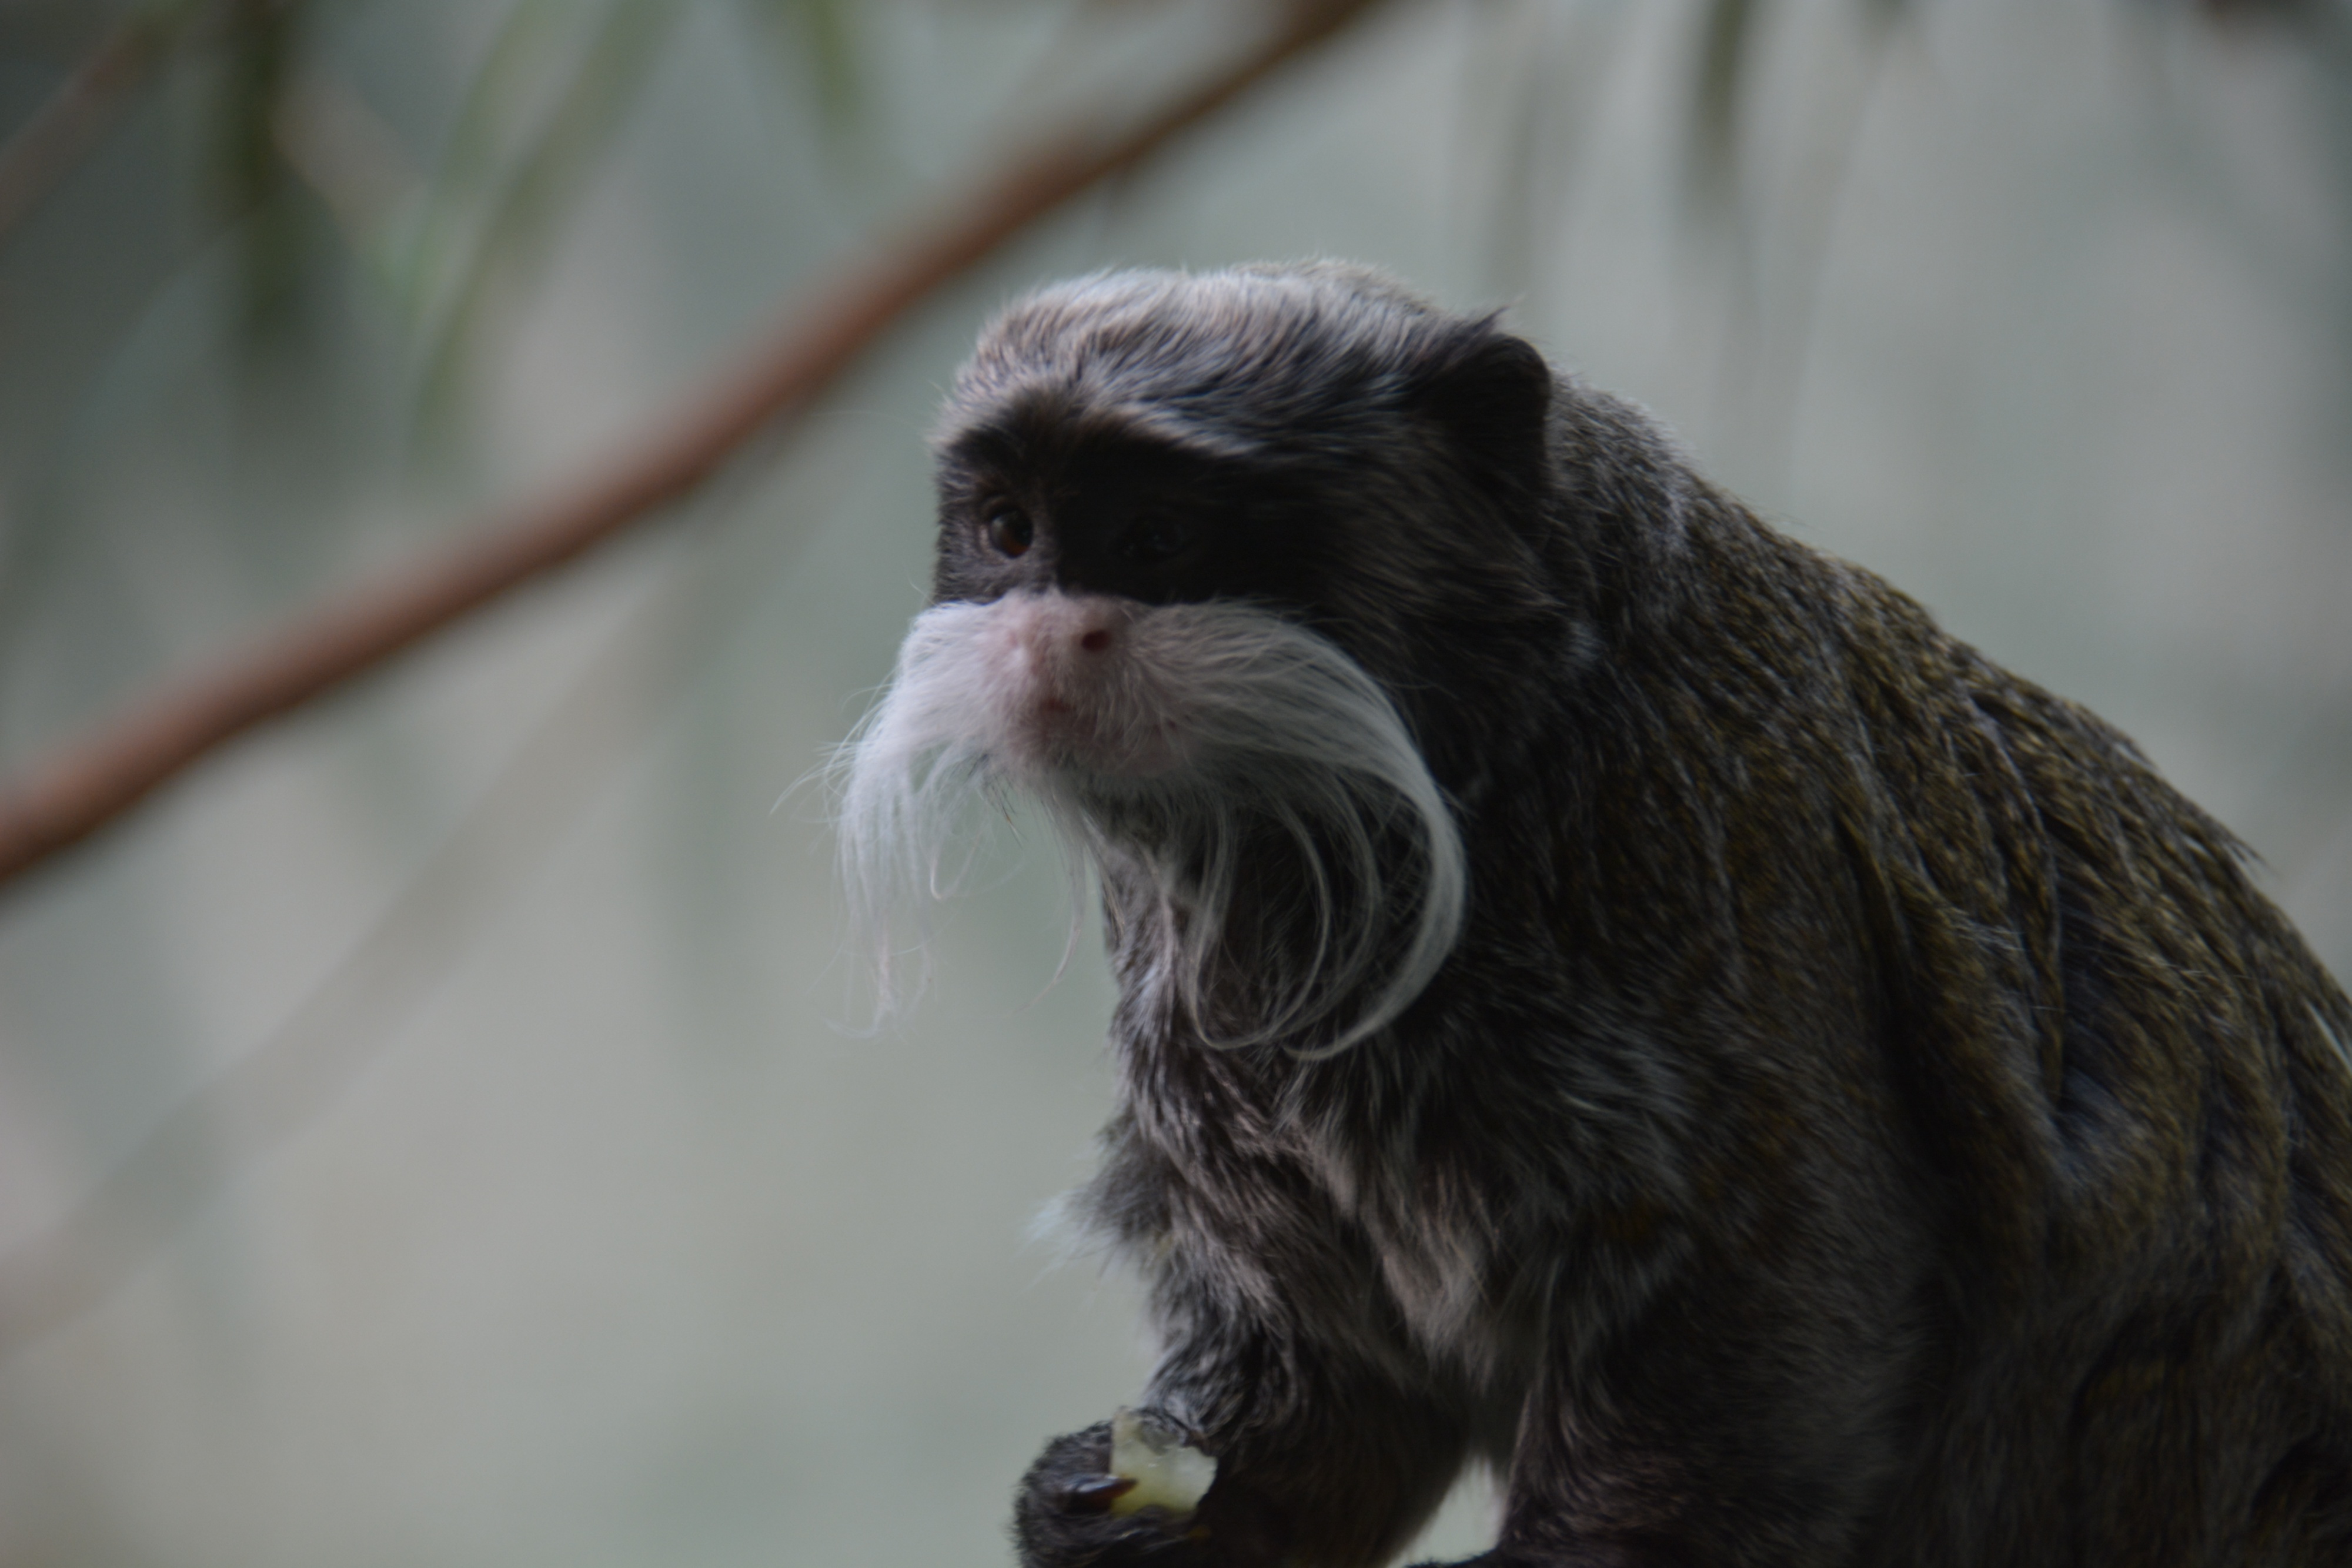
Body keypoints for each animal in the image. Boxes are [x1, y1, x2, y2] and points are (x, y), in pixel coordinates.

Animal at [828, 266, 2352, 1568]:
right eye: (1010, 533)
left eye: (1153, 540)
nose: (1046, 634)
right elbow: (1339, 1386)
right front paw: (1152, 1502)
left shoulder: (1706, 867)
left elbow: (1778, 1302)